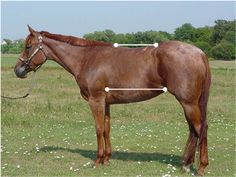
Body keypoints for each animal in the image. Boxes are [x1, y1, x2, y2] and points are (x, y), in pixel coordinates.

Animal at [13, 25, 211, 176]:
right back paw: (186, 165)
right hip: (189, 103)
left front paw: (97, 161)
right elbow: (107, 129)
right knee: (193, 130)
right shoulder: (106, 103)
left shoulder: (96, 100)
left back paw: (201, 167)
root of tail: (199, 52)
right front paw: (107, 159)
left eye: (28, 46)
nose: (18, 70)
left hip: (188, 102)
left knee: (201, 128)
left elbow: (98, 129)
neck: (86, 59)